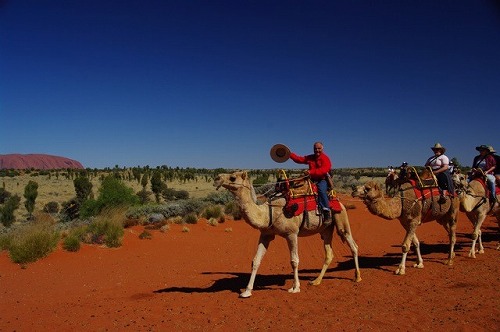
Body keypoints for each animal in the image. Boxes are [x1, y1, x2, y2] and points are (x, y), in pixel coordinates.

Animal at [213, 171, 362, 298]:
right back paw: (316, 281)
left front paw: (295, 288)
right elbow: (256, 261)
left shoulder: (292, 233)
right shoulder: (266, 235)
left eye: (233, 177)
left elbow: (294, 261)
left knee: (353, 245)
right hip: (325, 229)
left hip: (341, 218)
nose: (217, 178)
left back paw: (357, 277)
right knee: (329, 253)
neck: (269, 213)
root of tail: (337, 198)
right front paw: (247, 291)